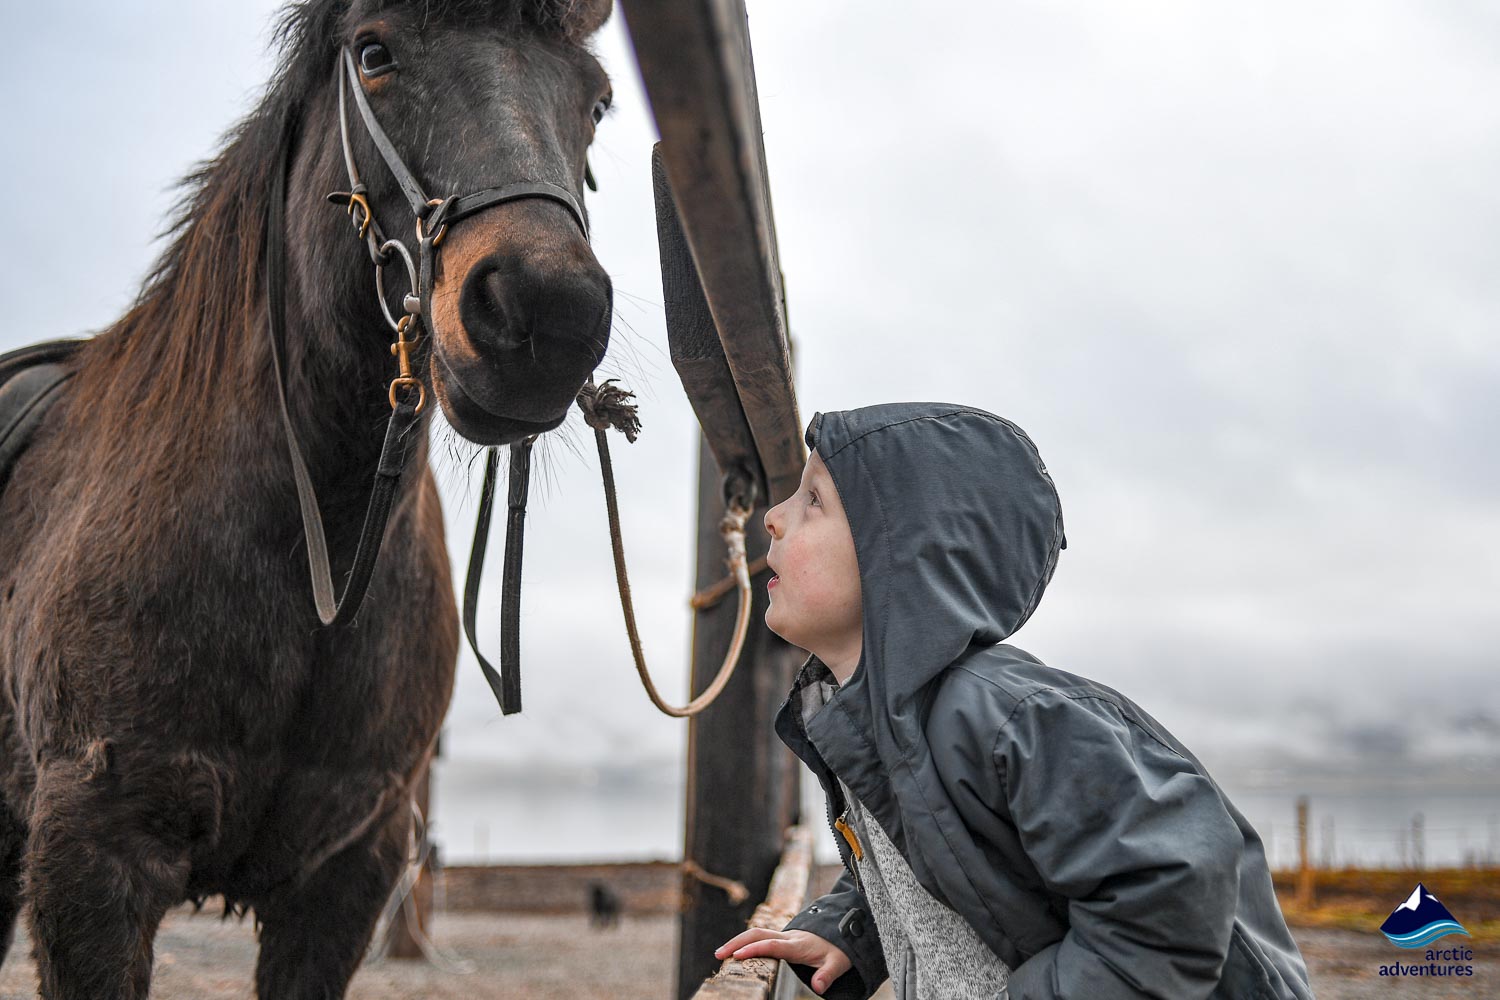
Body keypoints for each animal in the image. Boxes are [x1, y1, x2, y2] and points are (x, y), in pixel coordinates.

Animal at [0, 0, 614, 996]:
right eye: (373, 53)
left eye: (595, 102)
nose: (546, 311)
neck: (303, 542)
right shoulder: (92, 856)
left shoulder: (344, 879)